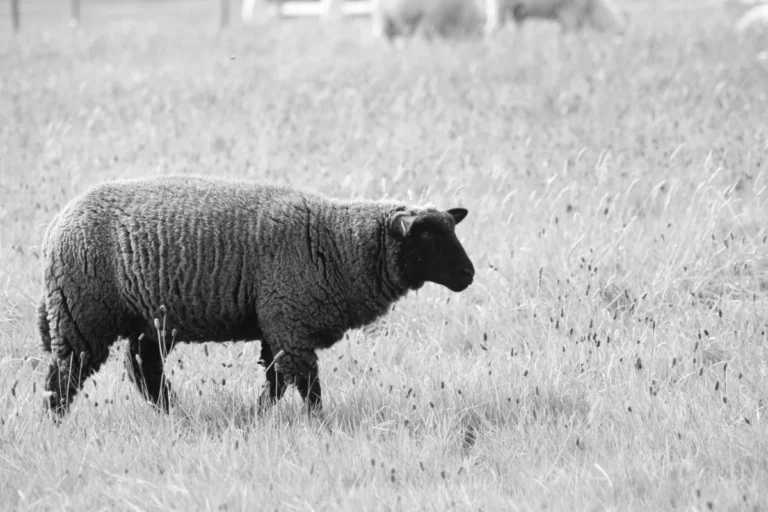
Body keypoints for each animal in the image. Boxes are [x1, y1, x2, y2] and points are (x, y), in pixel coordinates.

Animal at [38, 175, 475, 420]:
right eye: (427, 237)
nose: (469, 274)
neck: (338, 244)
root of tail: (57, 224)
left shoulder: (278, 327)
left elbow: (276, 382)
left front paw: (256, 418)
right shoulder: (291, 322)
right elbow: (307, 386)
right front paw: (320, 425)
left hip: (148, 318)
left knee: (144, 368)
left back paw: (172, 415)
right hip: (81, 313)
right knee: (65, 373)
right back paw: (53, 423)